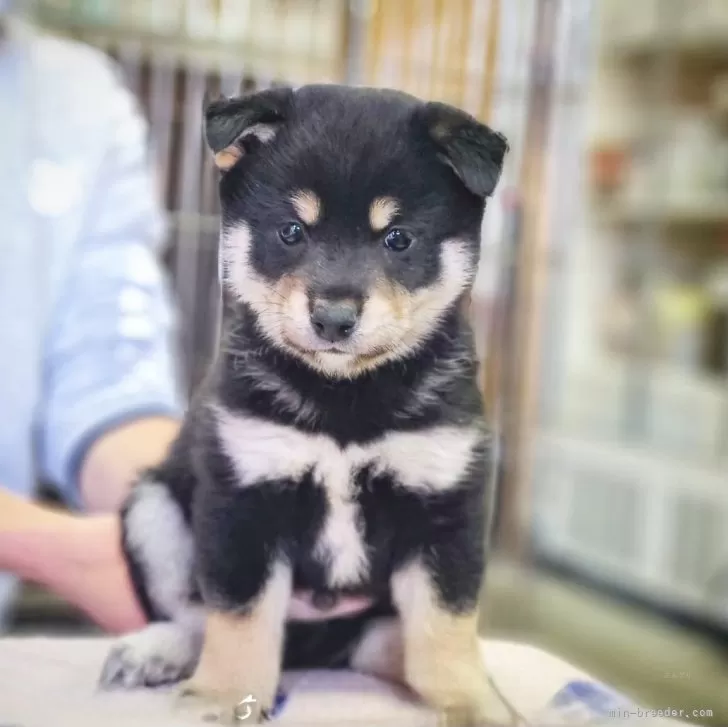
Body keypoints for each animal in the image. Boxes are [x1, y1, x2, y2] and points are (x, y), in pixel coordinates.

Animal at [99, 86, 510, 727]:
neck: (345, 397)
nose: (334, 318)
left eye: (399, 238)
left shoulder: (444, 504)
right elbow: (239, 618)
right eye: (292, 231)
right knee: (194, 615)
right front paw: (224, 697)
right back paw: (157, 652)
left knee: (383, 640)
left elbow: (445, 628)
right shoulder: (245, 498)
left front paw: (470, 701)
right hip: (153, 510)